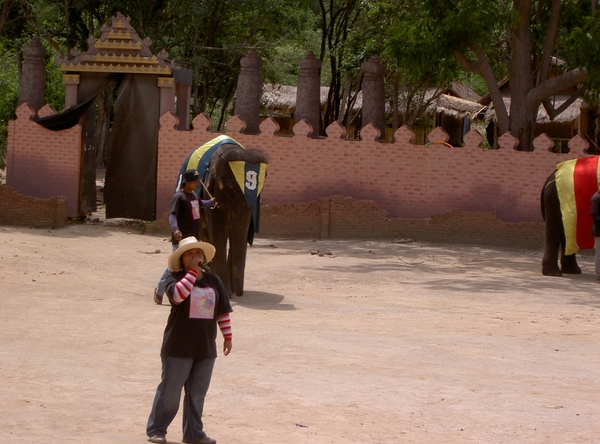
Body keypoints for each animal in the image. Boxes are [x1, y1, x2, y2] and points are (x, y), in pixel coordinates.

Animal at [175, 135, 266, 294]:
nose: (239, 294)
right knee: (208, 234)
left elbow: (238, 234)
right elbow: (219, 231)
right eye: (229, 190)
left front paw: (229, 290)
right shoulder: (210, 192)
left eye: (259, 193)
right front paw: (226, 289)